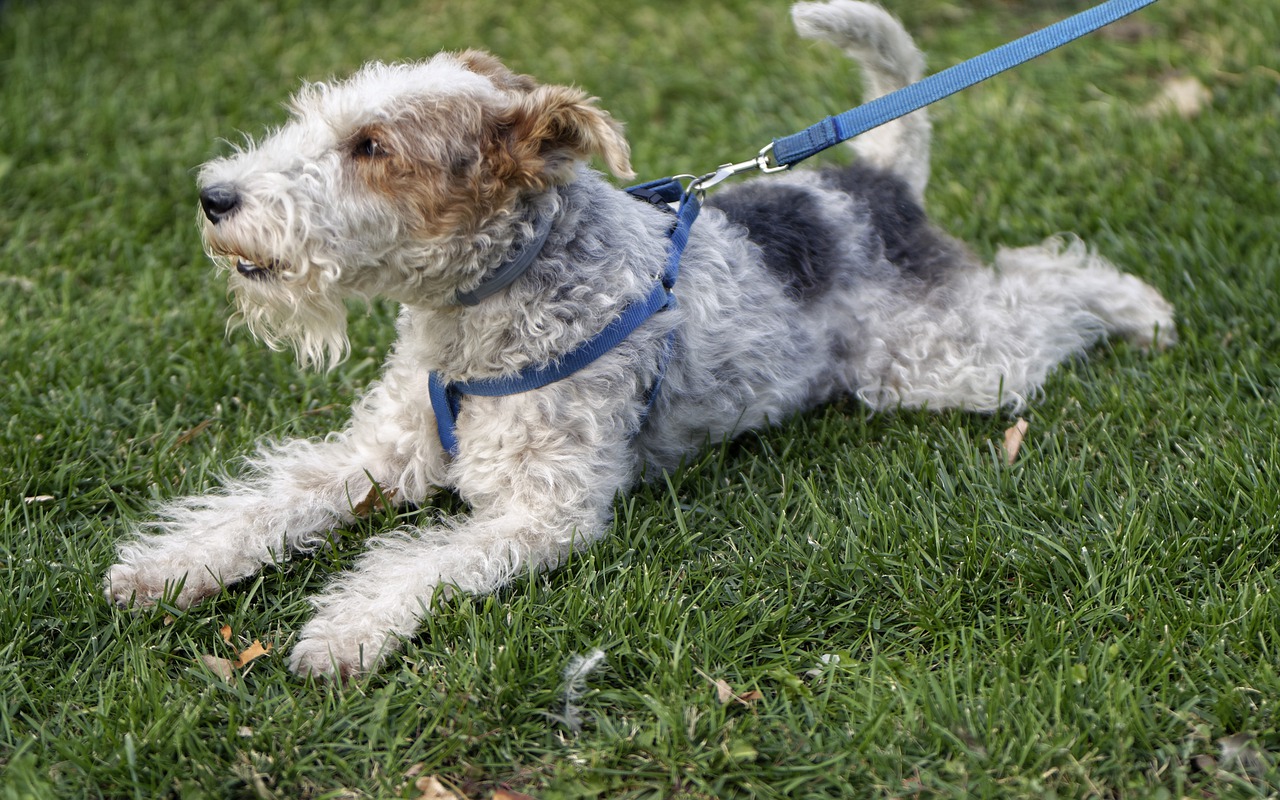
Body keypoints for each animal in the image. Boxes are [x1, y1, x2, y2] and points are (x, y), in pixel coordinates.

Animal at [104, 0, 1172, 675]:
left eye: (372, 147)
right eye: (313, 117)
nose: (214, 198)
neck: (476, 325)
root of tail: (869, 184)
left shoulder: (544, 510)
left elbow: (412, 562)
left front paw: (342, 636)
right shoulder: (374, 454)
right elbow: (264, 502)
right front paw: (162, 569)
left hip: (940, 366)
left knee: (1048, 280)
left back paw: (1143, 309)